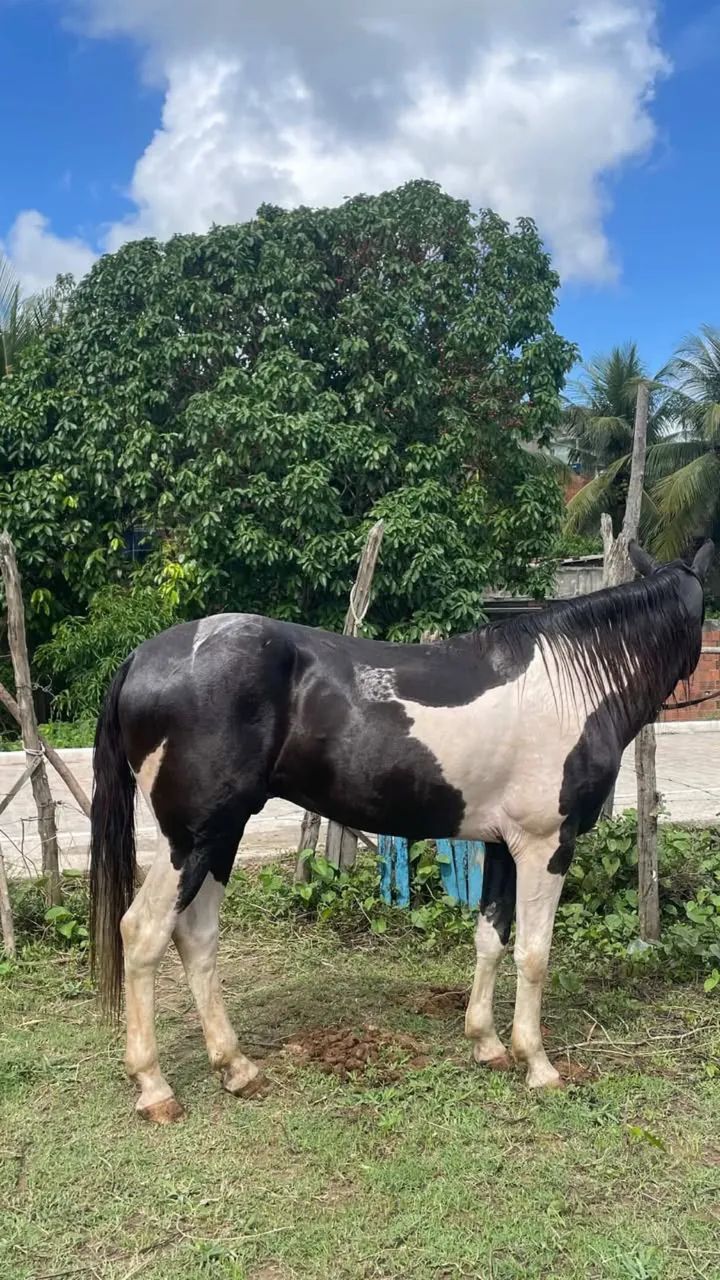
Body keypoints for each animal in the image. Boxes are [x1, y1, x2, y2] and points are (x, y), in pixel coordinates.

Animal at [89, 540, 713, 1122]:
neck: (570, 684)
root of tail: (142, 658)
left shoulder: (501, 846)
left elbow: (490, 938)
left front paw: (486, 1044)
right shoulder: (545, 846)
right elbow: (533, 955)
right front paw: (537, 1064)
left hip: (219, 836)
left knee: (196, 938)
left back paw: (236, 1067)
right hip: (191, 841)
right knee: (143, 934)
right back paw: (155, 1088)